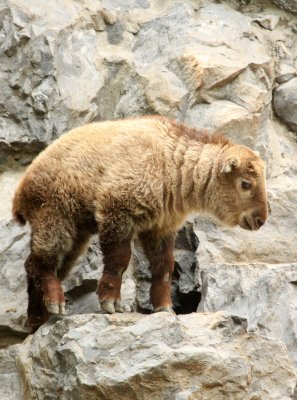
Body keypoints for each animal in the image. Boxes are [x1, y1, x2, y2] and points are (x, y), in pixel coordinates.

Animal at [11, 115, 268, 332]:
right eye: (246, 183)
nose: (261, 219)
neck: (171, 164)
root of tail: (22, 189)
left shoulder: (161, 226)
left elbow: (164, 267)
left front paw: (164, 307)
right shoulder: (118, 211)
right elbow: (119, 259)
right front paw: (111, 303)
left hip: (76, 233)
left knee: (41, 267)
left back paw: (38, 318)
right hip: (54, 215)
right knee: (39, 262)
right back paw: (55, 302)